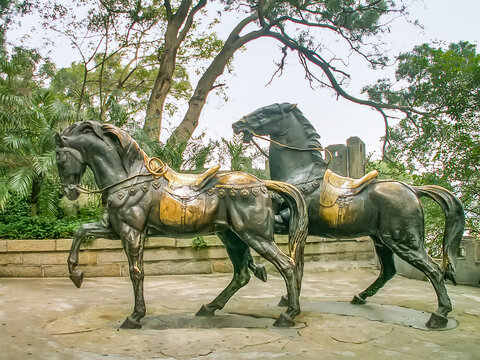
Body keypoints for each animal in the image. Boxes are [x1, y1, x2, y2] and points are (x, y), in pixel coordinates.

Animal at [55, 119, 308, 328]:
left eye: (61, 160)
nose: (69, 192)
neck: (128, 179)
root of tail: (263, 183)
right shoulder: (113, 229)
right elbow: (80, 231)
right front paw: (76, 274)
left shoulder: (132, 232)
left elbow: (136, 272)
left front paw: (135, 316)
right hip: (233, 237)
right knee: (242, 275)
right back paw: (209, 307)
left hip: (255, 236)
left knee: (287, 265)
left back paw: (287, 315)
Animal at [232, 102, 464, 330]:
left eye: (266, 111)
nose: (237, 124)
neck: (300, 175)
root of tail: (414, 190)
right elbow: (294, 263)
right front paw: (281, 292)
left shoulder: (288, 224)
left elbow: (291, 261)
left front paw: (286, 303)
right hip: (381, 240)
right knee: (388, 271)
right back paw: (360, 297)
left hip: (404, 241)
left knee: (434, 270)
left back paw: (439, 316)